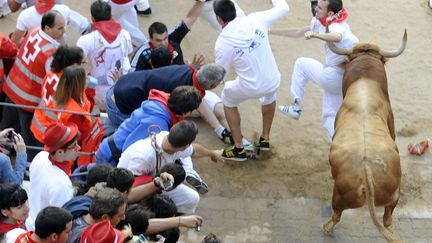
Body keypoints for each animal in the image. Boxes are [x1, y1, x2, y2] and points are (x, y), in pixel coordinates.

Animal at [326, 29, 406, 243]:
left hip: (338, 196)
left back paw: (325, 228)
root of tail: (366, 169)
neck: (364, 84)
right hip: (393, 196)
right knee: (387, 219)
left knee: (336, 215)